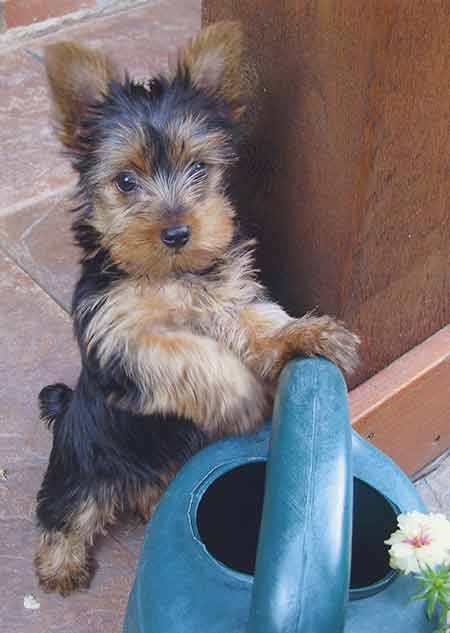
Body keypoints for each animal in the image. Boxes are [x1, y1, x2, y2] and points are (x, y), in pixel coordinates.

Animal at [34, 19, 358, 592]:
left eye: (199, 168)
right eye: (125, 181)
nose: (178, 232)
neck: (173, 274)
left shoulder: (228, 297)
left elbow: (259, 323)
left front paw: (307, 334)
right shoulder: (121, 336)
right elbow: (185, 352)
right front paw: (242, 396)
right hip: (83, 465)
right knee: (66, 510)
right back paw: (61, 566)